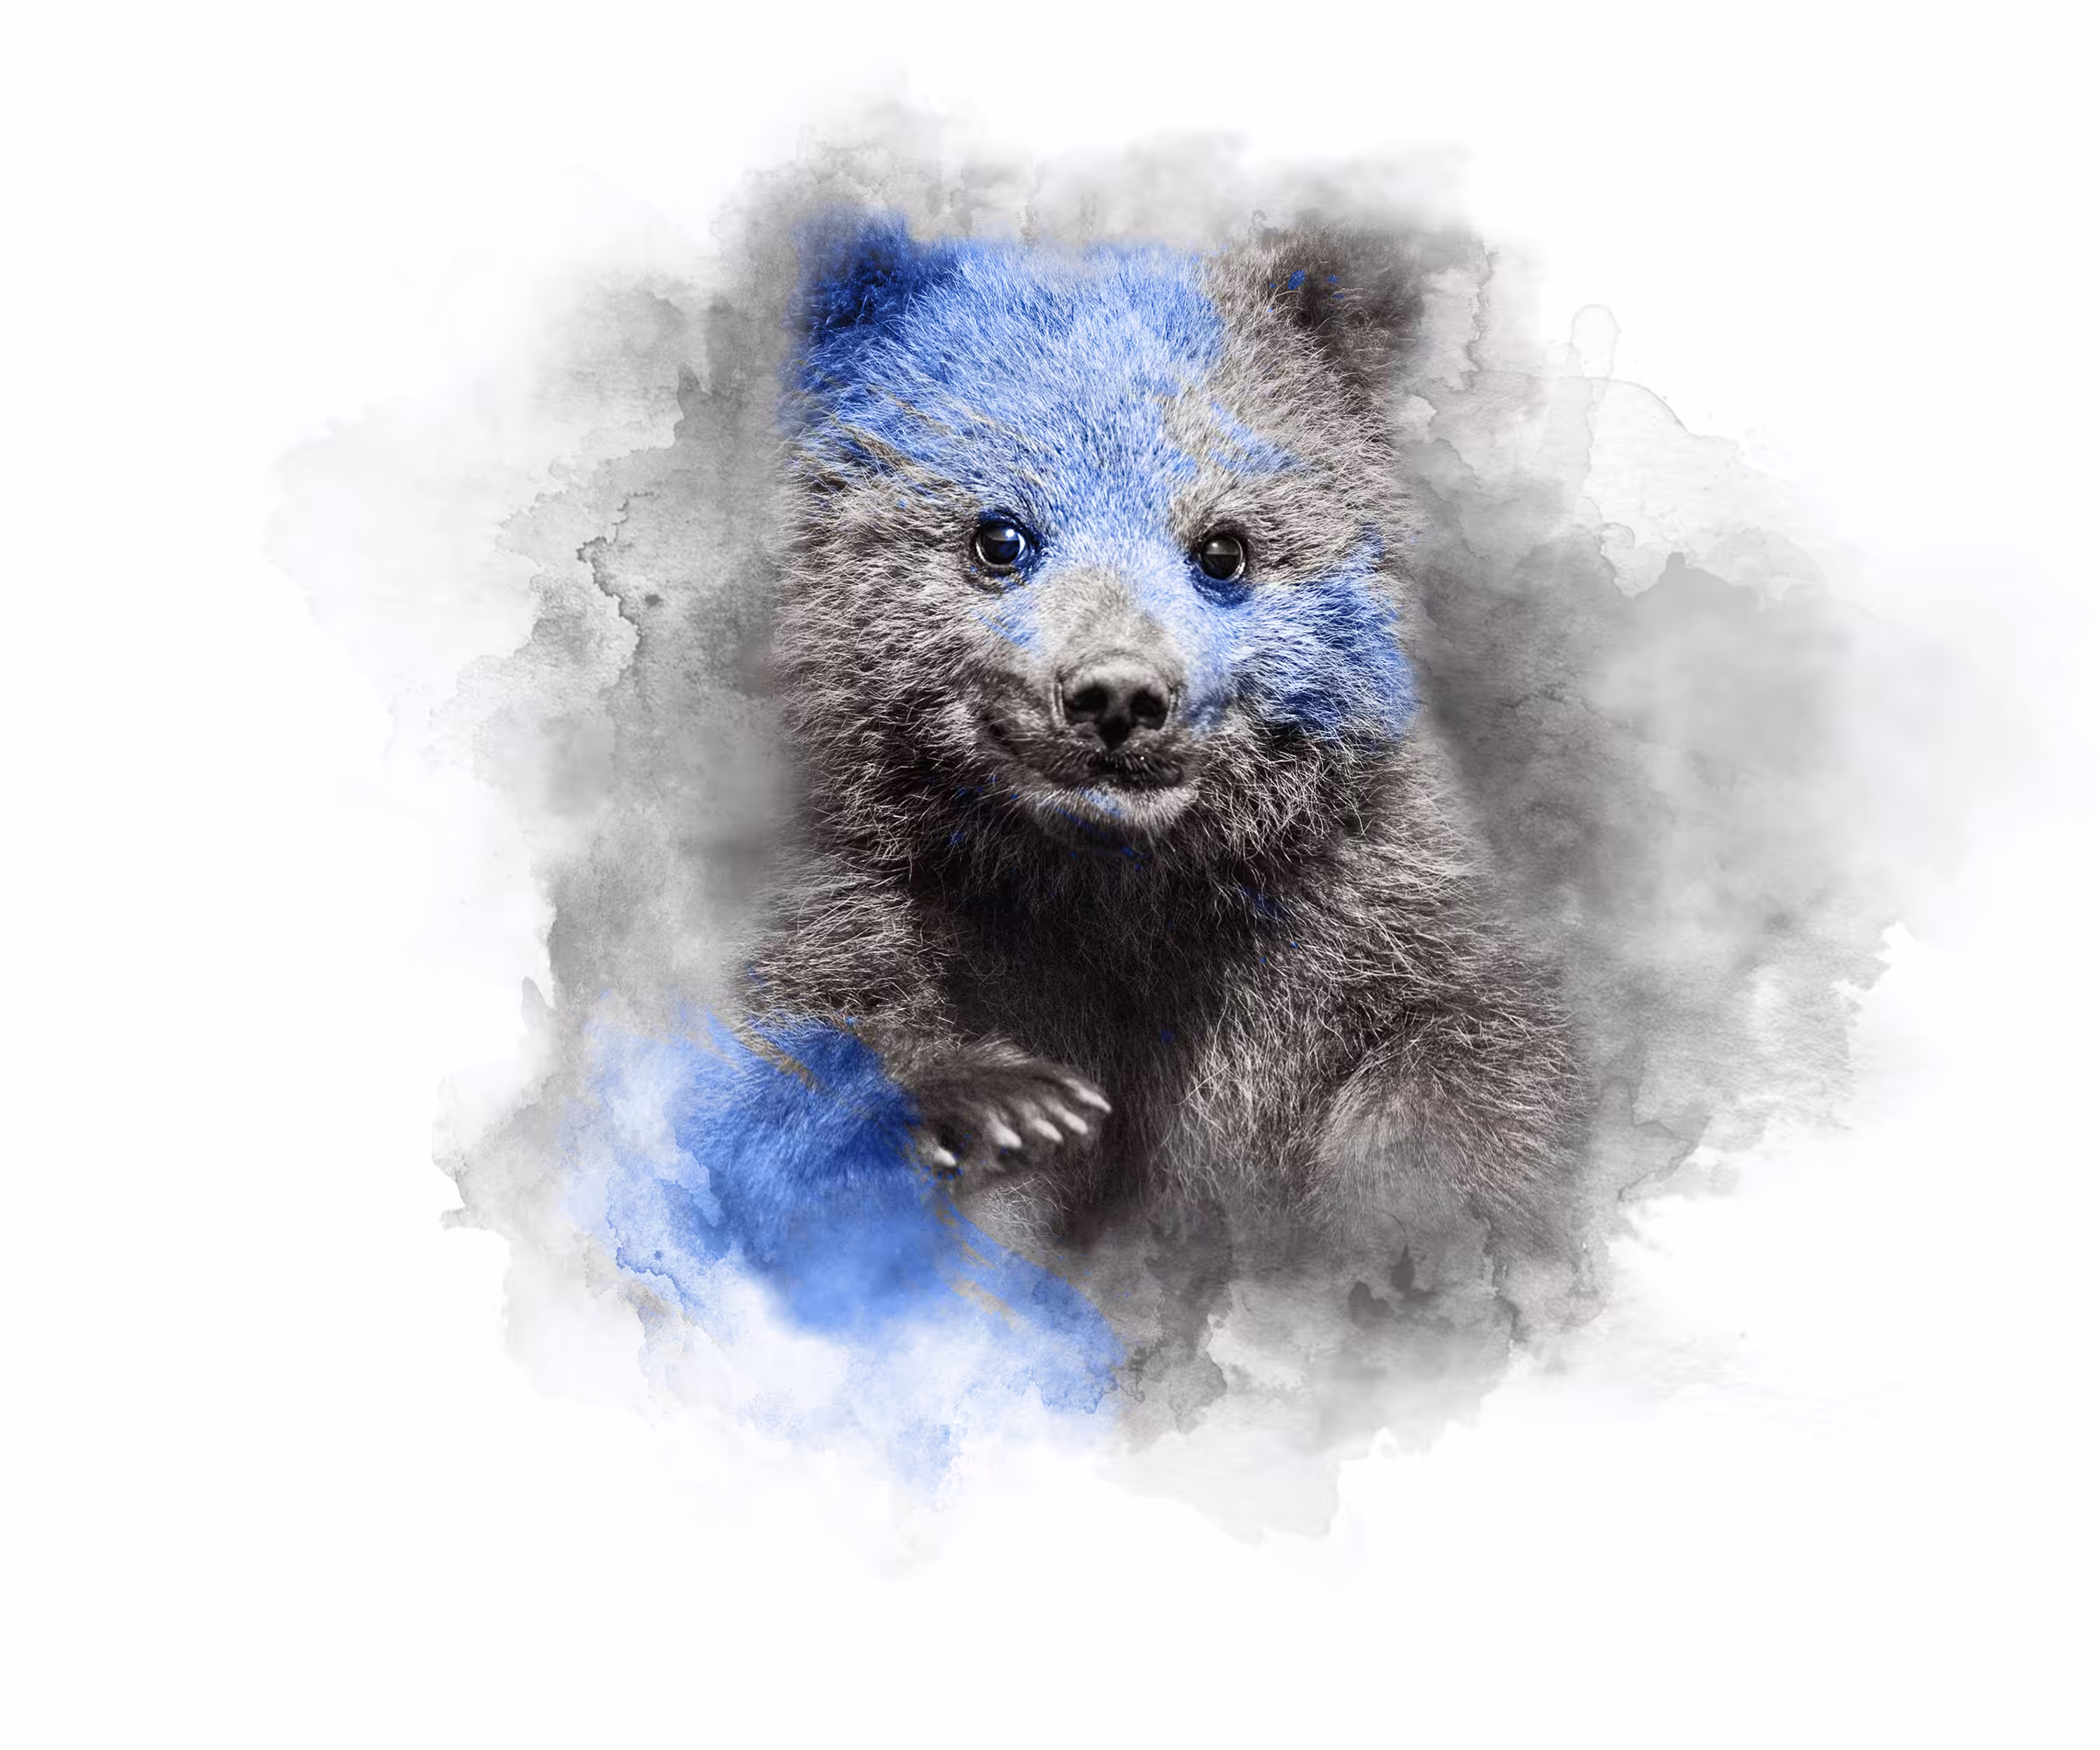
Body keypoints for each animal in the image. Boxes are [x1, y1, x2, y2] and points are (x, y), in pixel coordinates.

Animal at [723, 212, 1584, 1330]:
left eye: (1225, 546)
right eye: (999, 535)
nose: (1118, 695)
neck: (1117, 888)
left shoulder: (1361, 921)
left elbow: (1471, 1074)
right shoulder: (884, 896)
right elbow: (781, 1071)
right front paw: (1005, 1106)